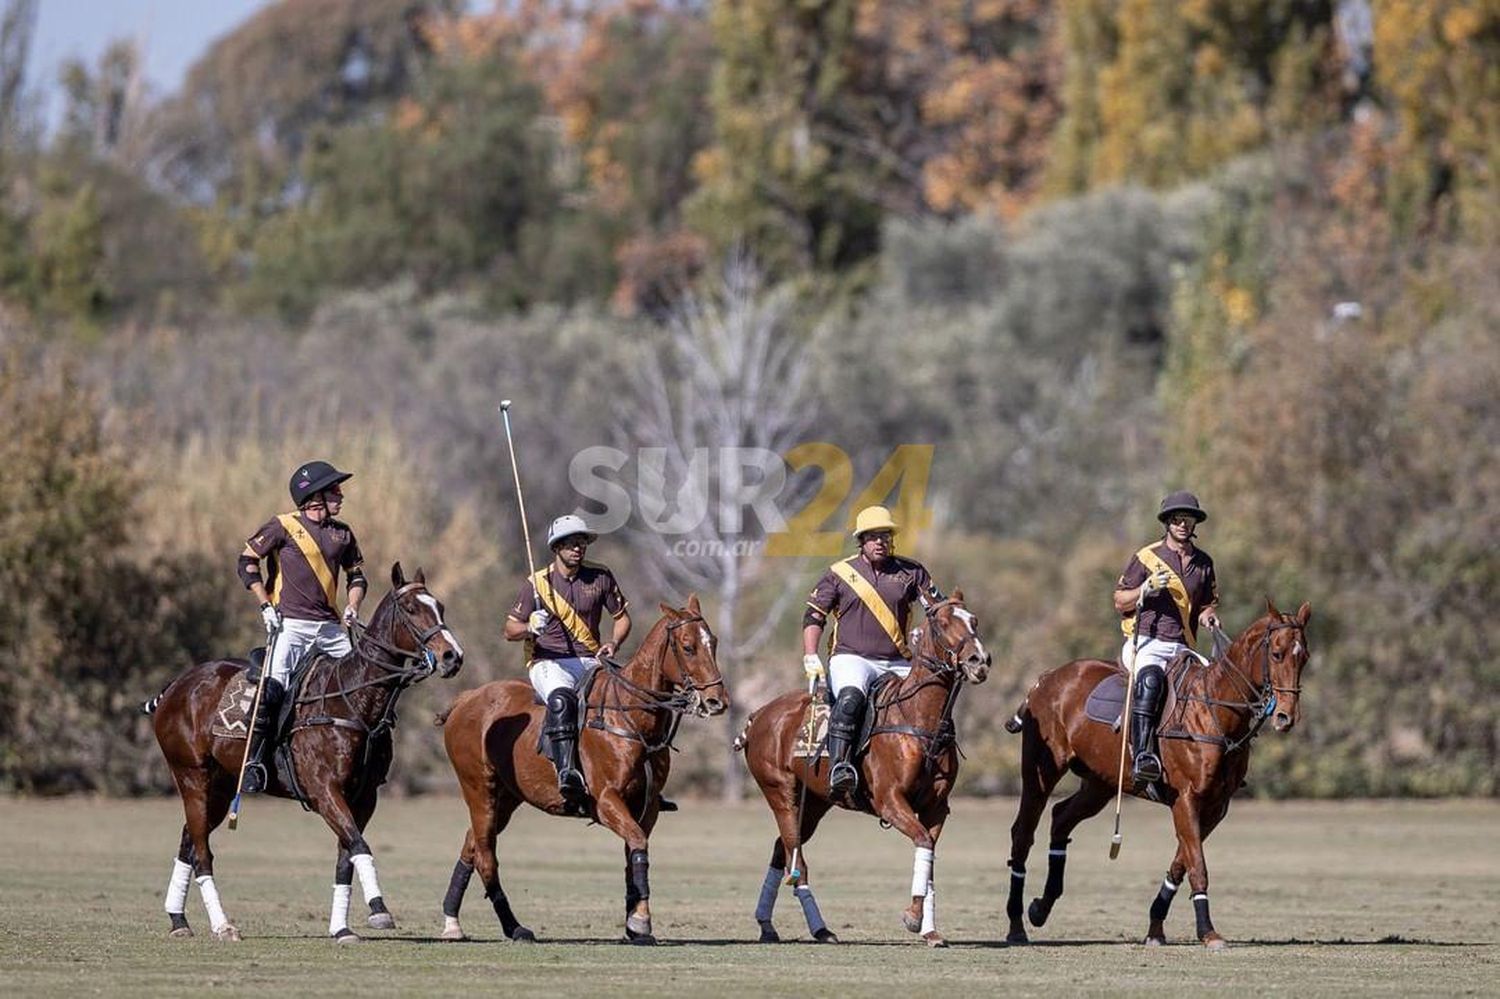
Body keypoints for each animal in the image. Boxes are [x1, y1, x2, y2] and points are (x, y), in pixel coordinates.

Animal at [147, 564, 465, 936]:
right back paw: (223, 925)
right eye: (412, 609)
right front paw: (379, 908)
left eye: (440, 607)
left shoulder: (365, 796)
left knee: (188, 839)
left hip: (221, 786)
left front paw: (342, 928)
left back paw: (178, 920)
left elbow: (347, 857)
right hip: (192, 776)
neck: (354, 701)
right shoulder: (324, 790)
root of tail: (175, 686)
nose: (453, 657)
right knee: (201, 851)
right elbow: (359, 845)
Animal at [438, 591, 729, 942]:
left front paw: (635, 924)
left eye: (713, 642)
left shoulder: (647, 807)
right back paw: (514, 927)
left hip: (506, 798)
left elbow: (634, 855)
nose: (717, 701)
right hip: (480, 790)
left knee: (471, 846)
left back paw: (453, 922)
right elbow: (638, 844)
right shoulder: (605, 801)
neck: (632, 719)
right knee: (486, 856)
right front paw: (640, 921)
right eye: (688, 647)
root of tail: (465, 699)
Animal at [732, 588, 990, 948]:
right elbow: (923, 841)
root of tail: (760, 713)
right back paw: (820, 928)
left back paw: (769, 924)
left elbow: (929, 857)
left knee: (780, 849)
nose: (980, 661)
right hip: (780, 793)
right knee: (797, 860)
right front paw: (913, 918)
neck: (919, 718)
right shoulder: (890, 800)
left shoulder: (936, 807)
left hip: (815, 802)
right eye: (941, 623)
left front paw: (931, 931)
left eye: (974, 621)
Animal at [1008, 594, 1314, 948]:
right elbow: (1198, 866)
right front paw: (1208, 932)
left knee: (1061, 817)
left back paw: (1041, 908)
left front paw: (1156, 928)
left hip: (1099, 783)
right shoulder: (1186, 799)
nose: (1285, 717)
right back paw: (1016, 926)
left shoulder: (1216, 806)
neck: (1214, 712)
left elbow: (1181, 864)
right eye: (1276, 654)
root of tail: (1044, 679)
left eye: (1304, 657)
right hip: (1041, 773)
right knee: (1022, 832)